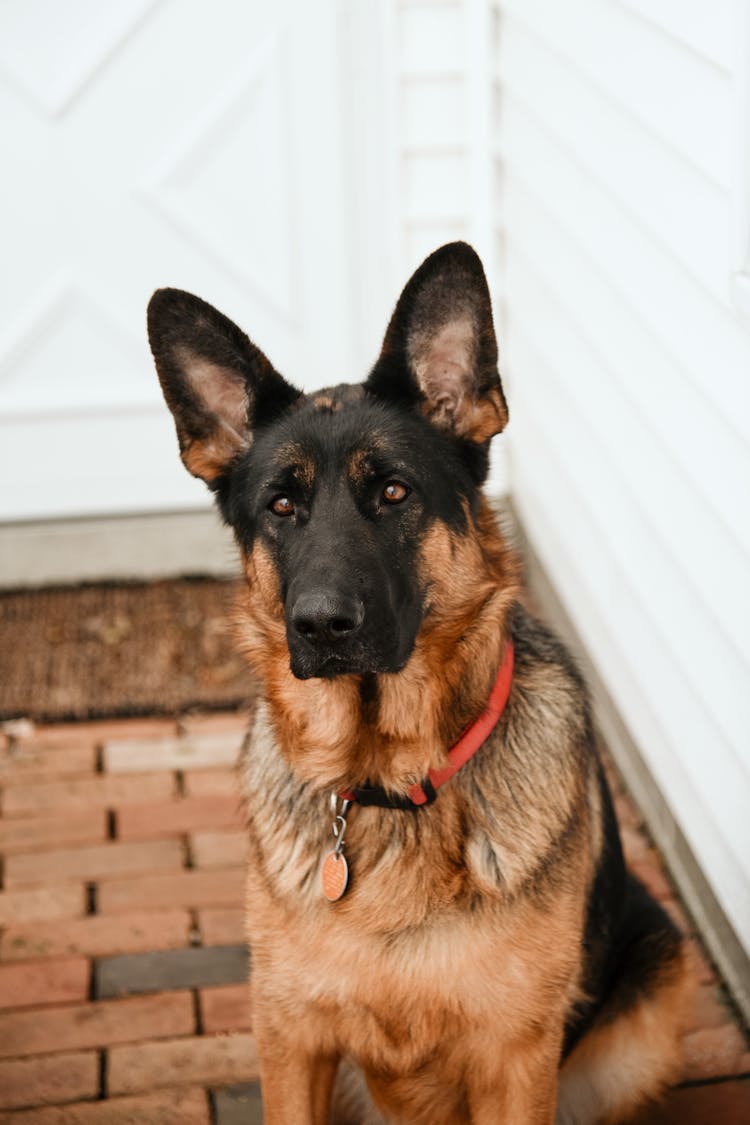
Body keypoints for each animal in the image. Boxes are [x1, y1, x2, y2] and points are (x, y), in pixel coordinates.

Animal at [148, 241, 692, 1120]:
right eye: (281, 506)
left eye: (393, 491)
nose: (321, 625)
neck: (387, 784)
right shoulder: (291, 1044)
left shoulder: (514, 1061)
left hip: (646, 1012)